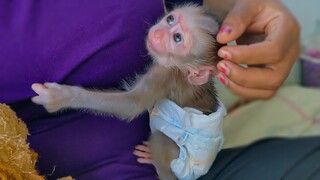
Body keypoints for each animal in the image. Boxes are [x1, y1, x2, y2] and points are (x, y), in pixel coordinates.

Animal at [31, 4, 225, 180]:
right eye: (170, 19)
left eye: (177, 38)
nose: (158, 33)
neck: (183, 70)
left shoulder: (165, 74)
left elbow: (132, 104)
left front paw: (61, 97)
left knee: (161, 140)